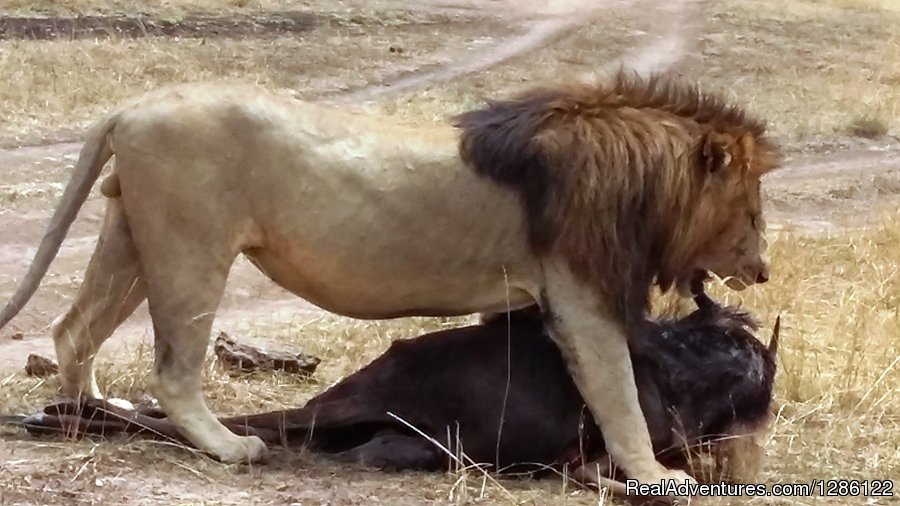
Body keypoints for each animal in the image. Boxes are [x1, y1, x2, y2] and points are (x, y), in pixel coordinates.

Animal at [0, 69, 780, 492]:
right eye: (751, 211)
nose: (763, 270)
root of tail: (131, 108)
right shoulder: (581, 297)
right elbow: (618, 396)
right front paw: (657, 474)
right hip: (191, 242)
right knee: (173, 369)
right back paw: (225, 447)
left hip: (132, 233)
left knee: (74, 331)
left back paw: (84, 413)